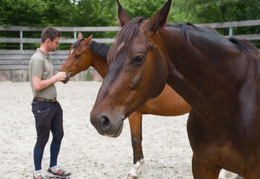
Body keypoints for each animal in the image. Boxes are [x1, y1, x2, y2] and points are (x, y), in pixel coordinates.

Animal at [58, 34, 190, 177]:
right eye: (70, 52)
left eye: (77, 55)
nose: (62, 73)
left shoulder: (134, 114)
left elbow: (135, 139)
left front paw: (135, 169)